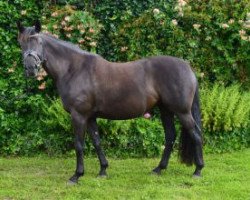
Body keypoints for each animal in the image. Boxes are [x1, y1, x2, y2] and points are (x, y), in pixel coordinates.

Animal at [17, 21, 203, 184]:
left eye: (38, 41)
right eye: (21, 43)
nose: (30, 69)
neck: (74, 69)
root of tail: (188, 68)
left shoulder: (79, 116)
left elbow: (79, 145)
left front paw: (76, 176)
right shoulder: (90, 117)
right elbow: (97, 142)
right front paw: (103, 170)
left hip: (182, 111)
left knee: (196, 134)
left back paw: (198, 170)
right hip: (166, 110)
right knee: (170, 136)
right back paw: (159, 169)